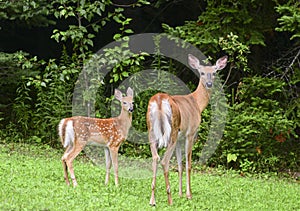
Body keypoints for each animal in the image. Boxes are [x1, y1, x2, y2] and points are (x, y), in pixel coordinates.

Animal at [147, 53, 227, 205]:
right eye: (202, 73)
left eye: (214, 73)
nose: (209, 84)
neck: (197, 104)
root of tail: (159, 100)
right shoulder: (191, 133)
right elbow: (188, 165)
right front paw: (188, 195)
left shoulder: (180, 137)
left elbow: (179, 165)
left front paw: (180, 194)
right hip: (172, 131)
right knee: (164, 161)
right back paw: (169, 199)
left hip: (151, 131)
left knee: (155, 157)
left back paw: (152, 200)